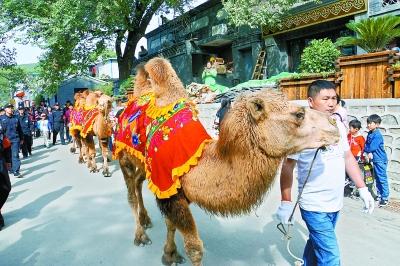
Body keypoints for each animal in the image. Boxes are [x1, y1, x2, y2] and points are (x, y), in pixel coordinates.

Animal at [114, 57, 340, 264]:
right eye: (299, 114)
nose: (334, 123)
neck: (196, 162)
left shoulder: (173, 190)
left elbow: (171, 223)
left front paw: (170, 254)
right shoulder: (167, 185)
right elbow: (194, 248)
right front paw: (173, 253)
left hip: (143, 167)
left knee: (138, 182)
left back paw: (146, 220)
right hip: (123, 157)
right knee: (130, 193)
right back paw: (140, 236)